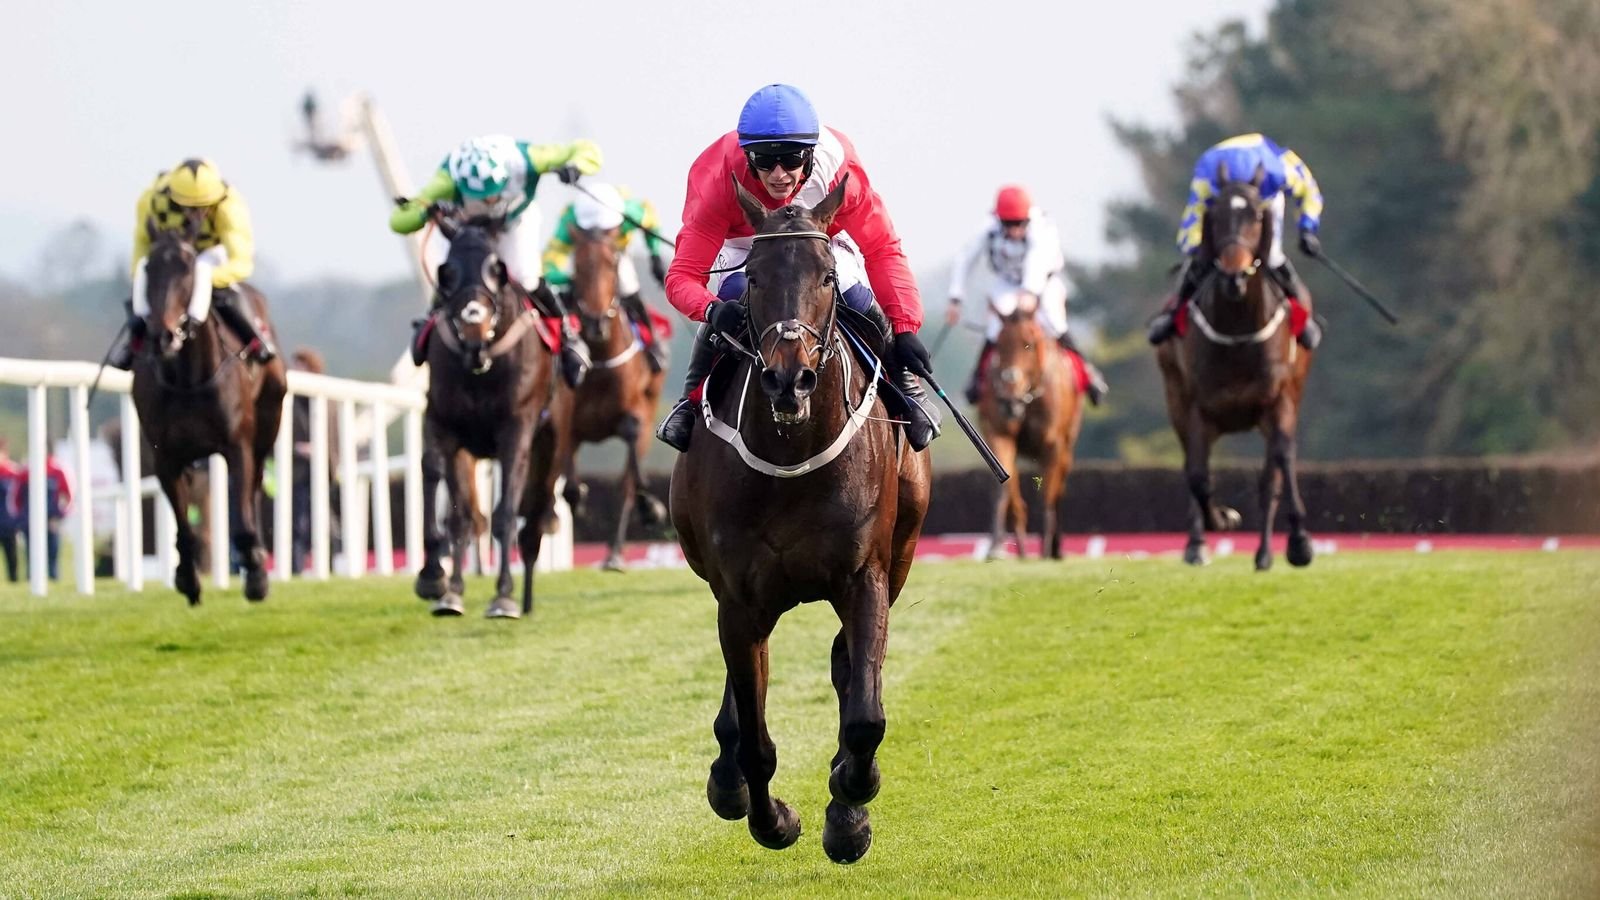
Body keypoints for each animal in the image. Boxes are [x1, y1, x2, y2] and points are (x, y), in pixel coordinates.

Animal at [412, 212, 556, 614]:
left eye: (497, 270)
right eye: (446, 272)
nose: (473, 328)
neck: (482, 365)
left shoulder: (516, 430)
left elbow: (505, 513)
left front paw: (503, 595)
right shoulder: (442, 421)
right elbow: (440, 486)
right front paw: (437, 580)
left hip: (551, 445)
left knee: (532, 521)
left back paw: (525, 598)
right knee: (468, 515)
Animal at [665, 175, 934, 864]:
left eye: (828, 277)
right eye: (755, 278)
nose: (791, 379)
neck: (792, 456)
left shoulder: (865, 576)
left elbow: (865, 715)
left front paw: (849, 811)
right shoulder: (739, 597)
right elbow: (755, 740)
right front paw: (773, 819)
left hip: (903, 551)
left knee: (846, 666)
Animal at [972, 291, 1088, 557]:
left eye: (1030, 343)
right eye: (999, 344)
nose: (1008, 399)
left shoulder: (1053, 443)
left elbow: (1048, 492)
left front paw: (1045, 547)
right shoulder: (998, 434)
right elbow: (1004, 488)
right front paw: (997, 545)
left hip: (1069, 442)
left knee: (1059, 489)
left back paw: (1055, 546)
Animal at [1158, 159, 1318, 566]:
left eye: (1257, 216)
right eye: (1214, 215)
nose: (1234, 275)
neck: (1238, 329)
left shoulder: (1278, 401)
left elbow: (1278, 466)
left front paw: (1299, 543)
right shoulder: (1197, 409)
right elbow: (1198, 476)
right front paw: (1218, 522)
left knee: (1272, 475)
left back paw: (1266, 553)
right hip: (1177, 399)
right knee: (1193, 468)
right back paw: (1199, 542)